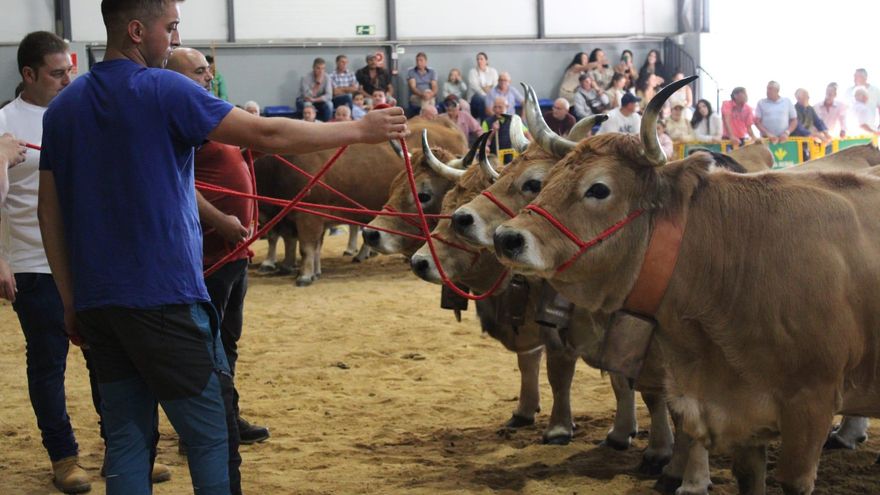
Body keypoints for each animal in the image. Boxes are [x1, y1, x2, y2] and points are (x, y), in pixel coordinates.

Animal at [254, 117, 468, 284]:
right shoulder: (291, 216)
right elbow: (295, 242)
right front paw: (294, 267)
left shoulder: (307, 216)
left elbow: (305, 246)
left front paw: (304, 275)